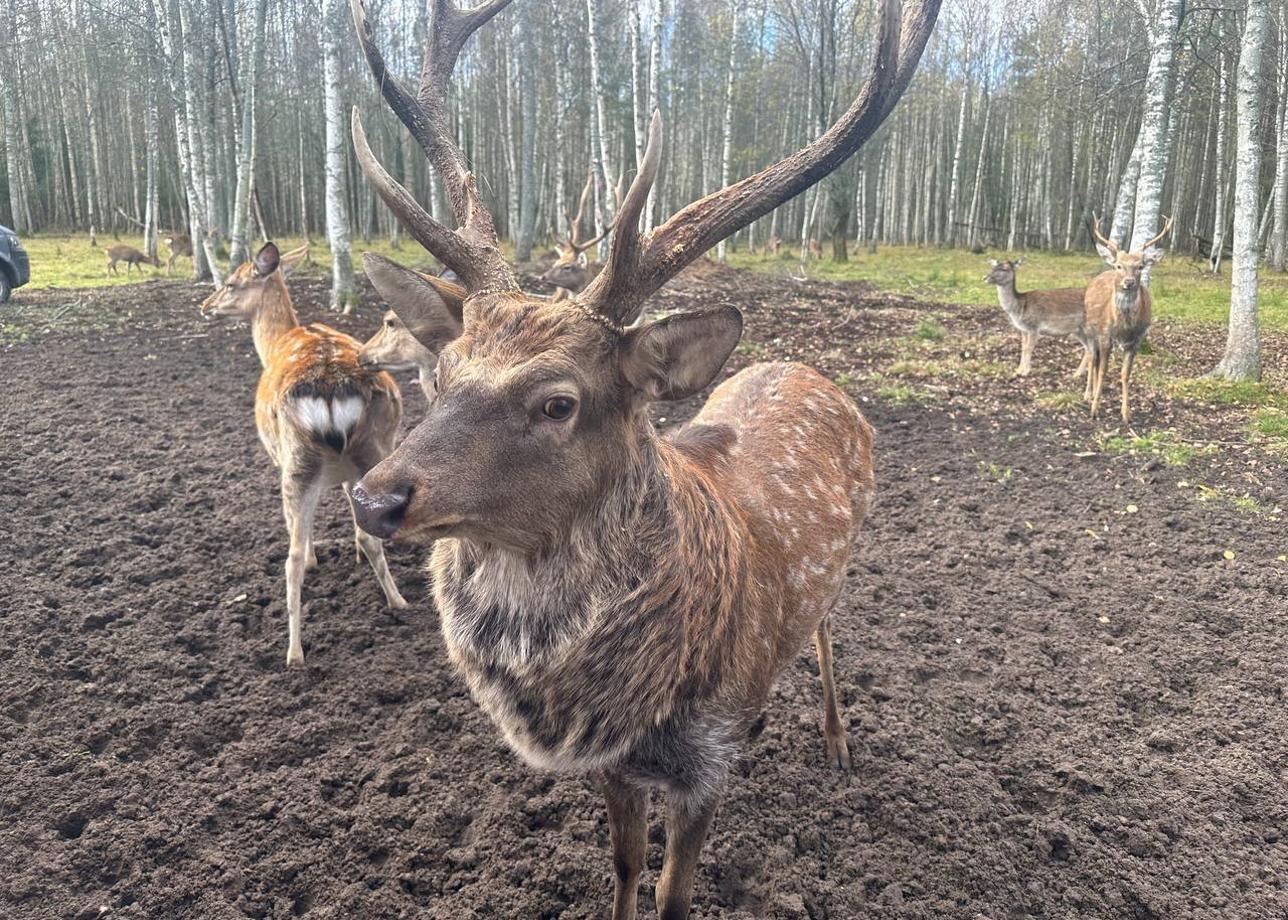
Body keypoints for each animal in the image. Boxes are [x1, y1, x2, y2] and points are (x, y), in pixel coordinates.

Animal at [200, 239, 404, 664]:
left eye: (231, 282)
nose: (206, 304)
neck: (277, 340)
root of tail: (331, 388)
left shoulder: (278, 459)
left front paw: (314, 556)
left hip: (296, 462)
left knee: (290, 558)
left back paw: (294, 652)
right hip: (378, 447)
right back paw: (399, 601)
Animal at [347, 1, 942, 917]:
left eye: (558, 402)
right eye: (438, 374)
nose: (375, 498)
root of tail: (803, 364)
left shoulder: (707, 761)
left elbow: (673, 892)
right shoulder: (613, 767)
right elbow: (626, 865)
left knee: (824, 630)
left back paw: (838, 738)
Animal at [1081, 216, 1174, 420]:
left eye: (1140, 266)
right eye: (1119, 265)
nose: (1129, 282)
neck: (1124, 327)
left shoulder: (1136, 340)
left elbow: (1125, 374)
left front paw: (1126, 413)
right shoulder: (1105, 335)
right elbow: (1103, 371)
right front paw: (1095, 408)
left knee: (1095, 360)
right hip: (1090, 329)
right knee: (1092, 359)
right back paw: (1088, 394)